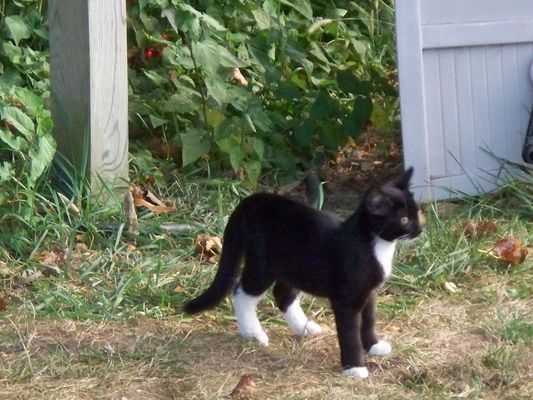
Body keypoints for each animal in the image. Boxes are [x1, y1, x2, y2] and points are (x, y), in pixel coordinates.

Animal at [185, 166, 422, 378]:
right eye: (404, 219)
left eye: (417, 213)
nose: (420, 231)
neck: (373, 243)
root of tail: (255, 199)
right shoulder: (346, 300)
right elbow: (349, 333)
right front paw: (354, 367)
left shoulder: (369, 291)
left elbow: (369, 318)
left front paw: (373, 345)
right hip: (264, 264)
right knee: (242, 292)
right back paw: (253, 333)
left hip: (295, 266)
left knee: (282, 294)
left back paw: (304, 327)